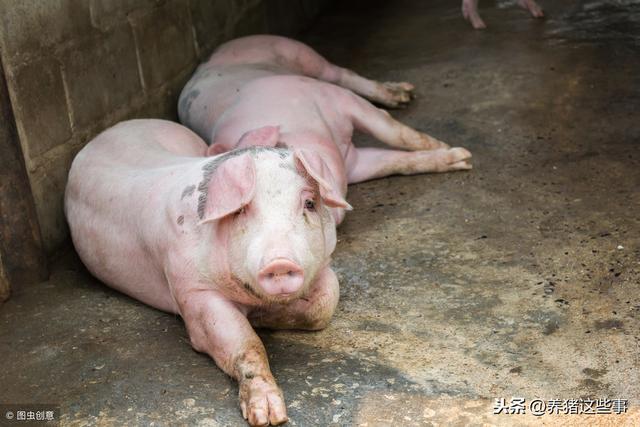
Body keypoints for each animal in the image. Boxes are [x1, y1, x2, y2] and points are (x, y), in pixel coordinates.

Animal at [66, 36, 470, 427]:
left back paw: (426, 119)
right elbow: (244, 344)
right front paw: (269, 416)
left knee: (347, 80)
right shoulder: (189, 289)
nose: (279, 262)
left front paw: (459, 157)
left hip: (300, 61)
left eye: (309, 203)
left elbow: (326, 301)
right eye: (241, 210)